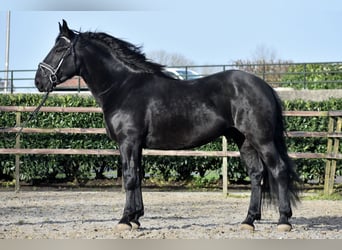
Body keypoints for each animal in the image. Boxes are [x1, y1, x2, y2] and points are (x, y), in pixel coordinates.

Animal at [34, 20, 300, 232]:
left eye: (60, 49)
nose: (39, 80)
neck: (123, 86)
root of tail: (264, 86)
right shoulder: (136, 145)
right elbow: (137, 176)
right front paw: (136, 218)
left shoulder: (128, 142)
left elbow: (129, 177)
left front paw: (124, 220)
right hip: (243, 140)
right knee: (257, 175)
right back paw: (248, 221)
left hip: (261, 139)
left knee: (278, 170)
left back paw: (283, 221)